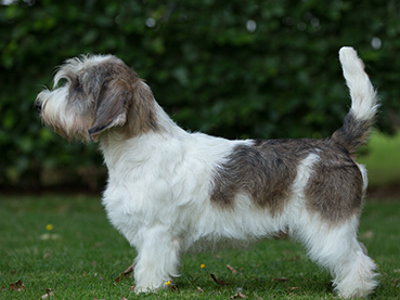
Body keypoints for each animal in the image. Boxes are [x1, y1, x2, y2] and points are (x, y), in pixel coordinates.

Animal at [36, 47, 378, 298]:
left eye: (77, 86)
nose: (39, 104)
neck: (140, 149)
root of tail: (336, 144)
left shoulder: (156, 231)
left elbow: (150, 265)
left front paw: (146, 290)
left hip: (329, 226)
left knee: (357, 260)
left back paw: (353, 291)